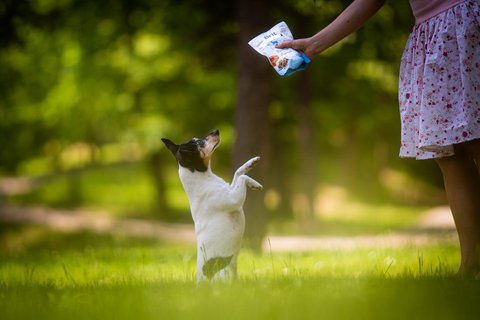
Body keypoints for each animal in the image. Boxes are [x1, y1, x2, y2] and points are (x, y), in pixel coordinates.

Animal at [162, 129, 262, 282]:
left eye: (197, 139)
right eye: (200, 143)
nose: (216, 130)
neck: (204, 179)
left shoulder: (231, 189)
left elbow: (238, 173)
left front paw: (251, 166)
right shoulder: (234, 199)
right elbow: (241, 178)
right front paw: (254, 182)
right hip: (223, 273)